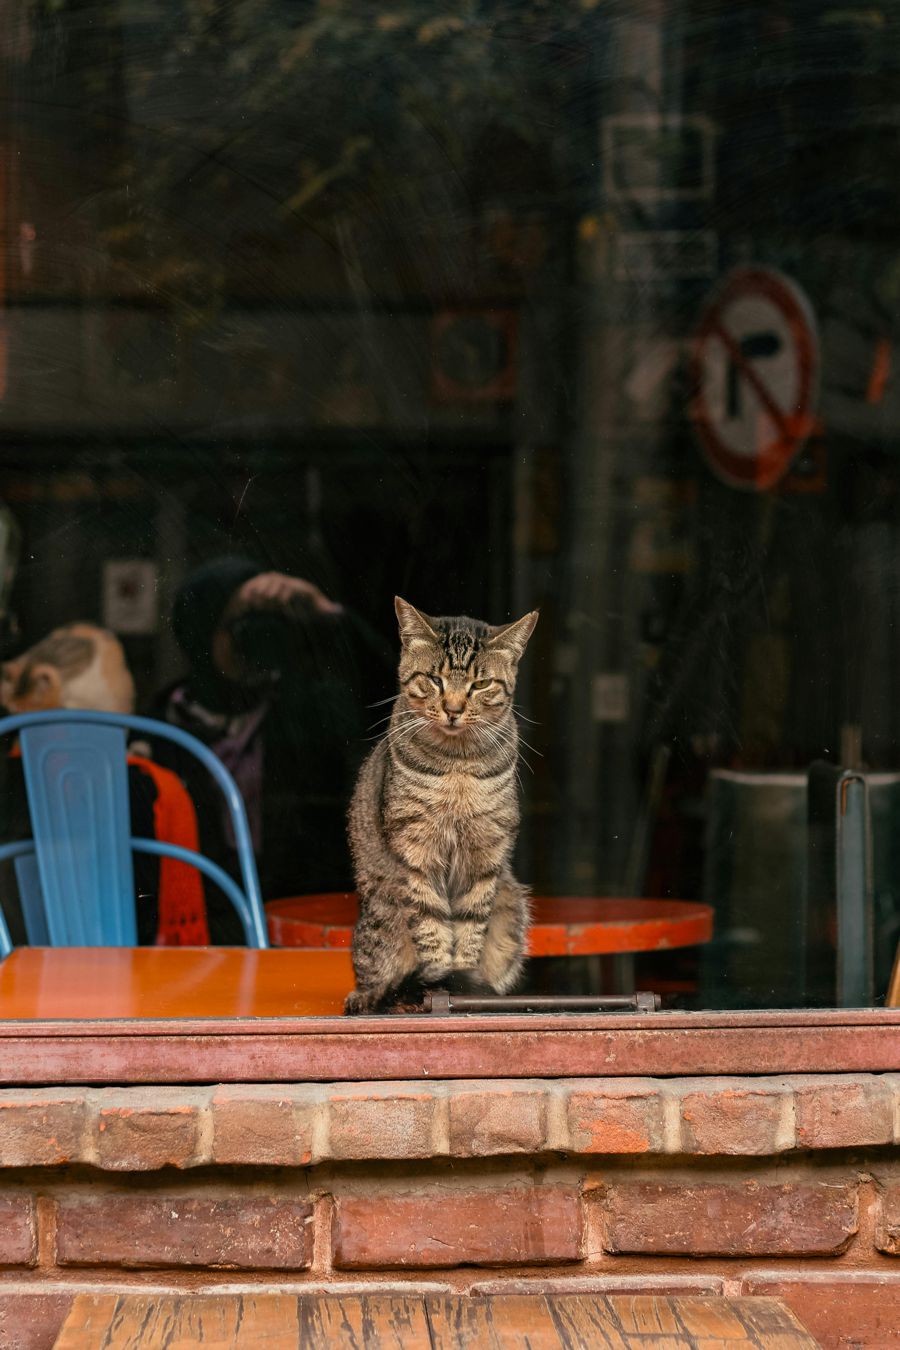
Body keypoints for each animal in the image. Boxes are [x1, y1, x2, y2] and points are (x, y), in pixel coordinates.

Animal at [345, 599, 539, 1015]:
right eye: (435, 680)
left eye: (481, 684)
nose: (452, 709)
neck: (457, 765)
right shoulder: (415, 851)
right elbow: (431, 929)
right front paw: (439, 987)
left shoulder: (484, 854)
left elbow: (469, 931)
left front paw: (463, 987)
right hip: (383, 911)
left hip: (511, 905)